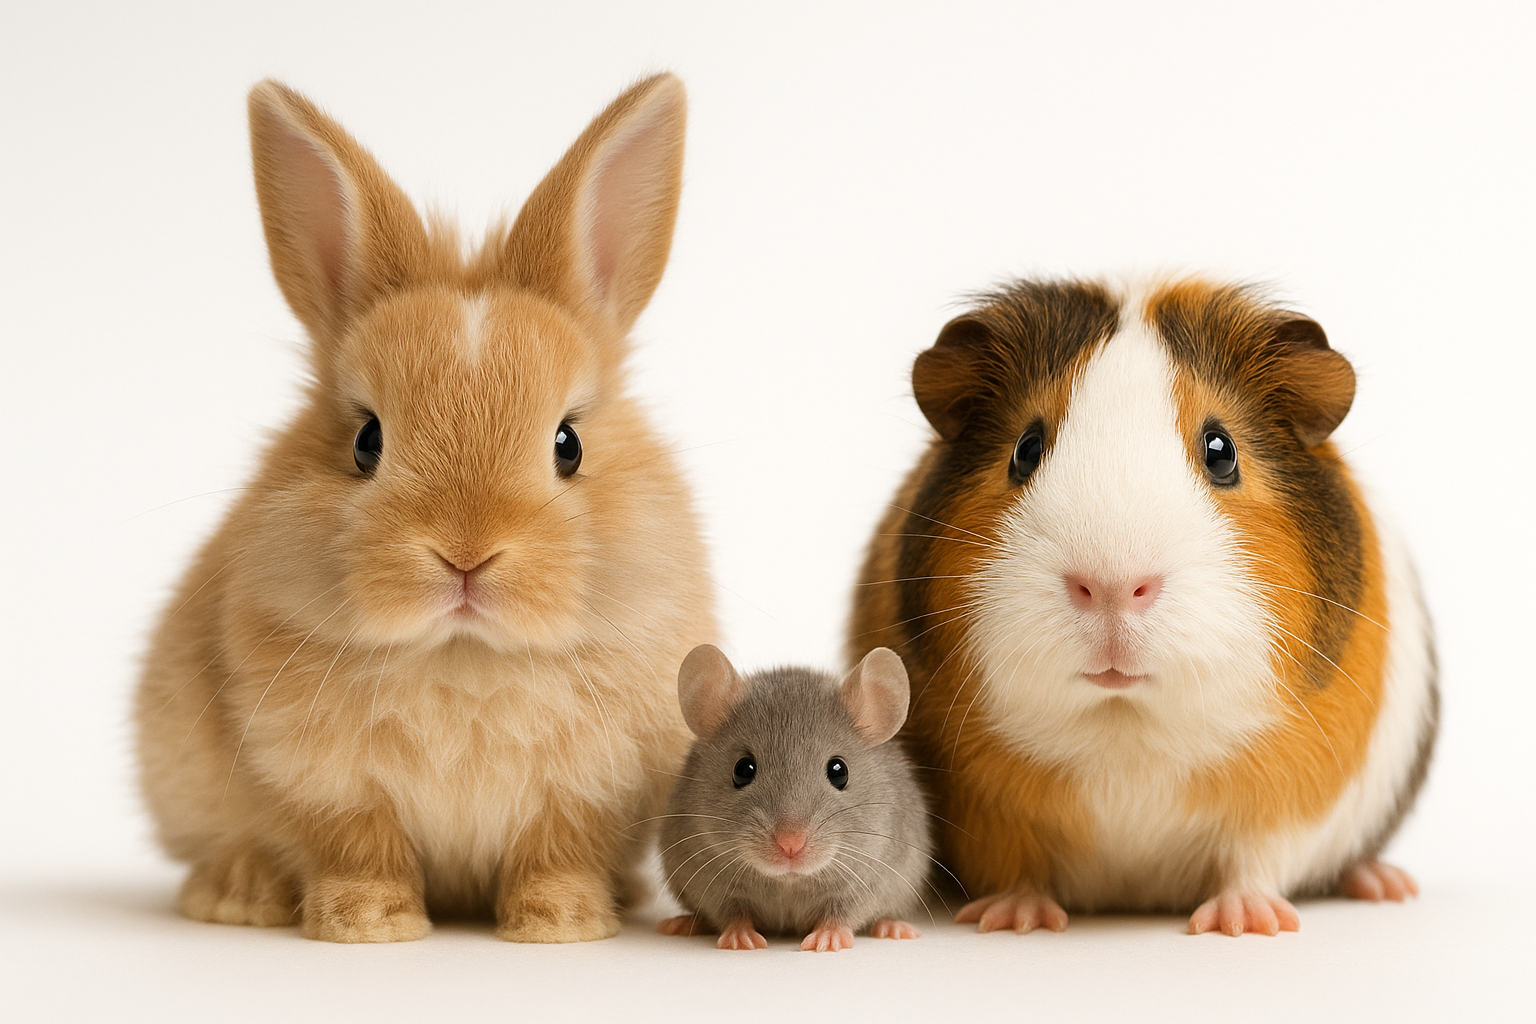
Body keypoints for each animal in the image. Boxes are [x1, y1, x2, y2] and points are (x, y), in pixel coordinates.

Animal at [134, 73, 715, 944]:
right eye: (366, 441)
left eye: (569, 443)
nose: (465, 555)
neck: (462, 654)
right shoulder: (330, 786)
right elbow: (360, 849)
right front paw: (367, 925)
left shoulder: (586, 794)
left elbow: (555, 853)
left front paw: (563, 924)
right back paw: (238, 894)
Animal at [849, 277, 1438, 937]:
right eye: (1026, 449)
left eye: (1221, 450)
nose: (1111, 586)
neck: (1123, 729)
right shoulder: (989, 813)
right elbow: (1018, 867)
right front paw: (1014, 920)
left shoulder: (1289, 804)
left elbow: (1252, 861)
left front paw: (1243, 923)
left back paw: (1385, 885)